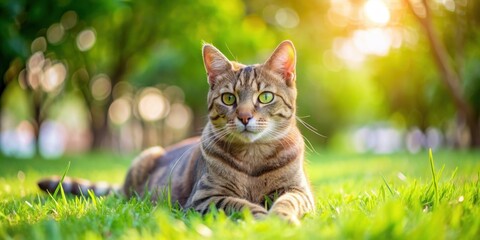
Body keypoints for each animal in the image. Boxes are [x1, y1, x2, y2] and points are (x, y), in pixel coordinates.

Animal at [37, 40, 316, 224]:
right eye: (228, 98)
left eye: (265, 96)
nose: (245, 117)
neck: (253, 157)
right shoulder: (205, 197)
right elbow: (240, 205)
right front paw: (264, 217)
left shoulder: (300, 191)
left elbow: (288, 201)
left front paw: (281, 216)